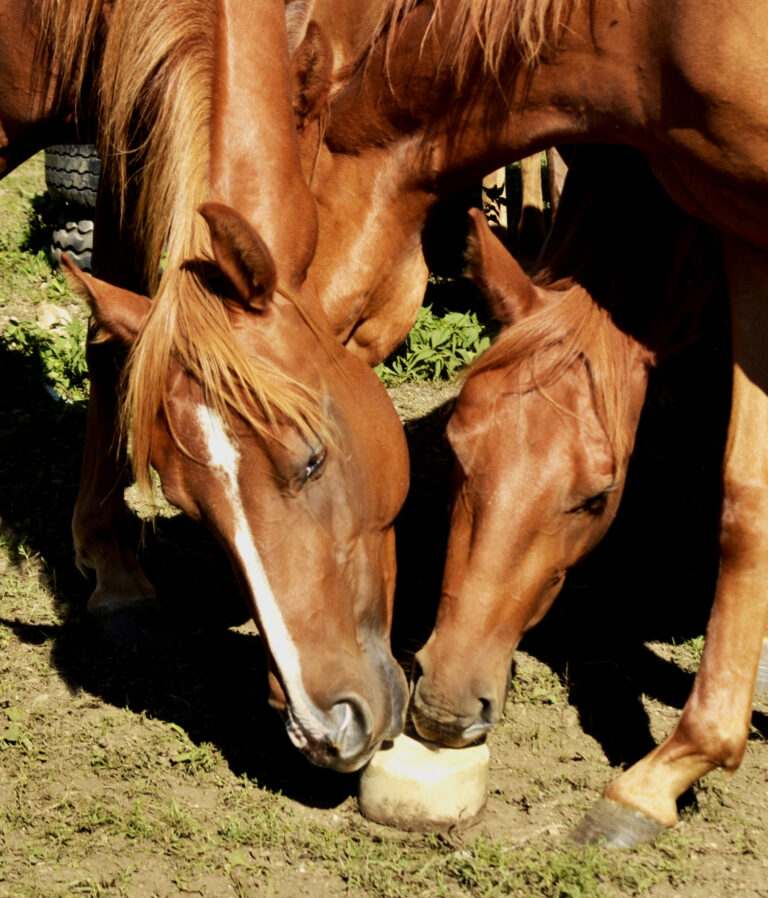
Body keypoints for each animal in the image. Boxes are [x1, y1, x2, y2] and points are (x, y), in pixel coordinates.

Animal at [288, 0, 768, 824]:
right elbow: (748, 495)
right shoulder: (735, 222)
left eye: (598, 499)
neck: (665, 29)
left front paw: (668, 769)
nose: (444, 709)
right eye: (455, 454)